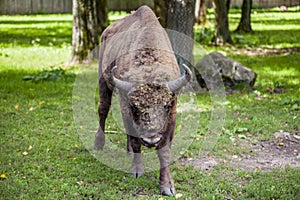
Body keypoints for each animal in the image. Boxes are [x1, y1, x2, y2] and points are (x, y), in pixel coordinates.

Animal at [94, 5, 192, 195]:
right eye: (135, 107)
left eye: (166, 105)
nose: (151, 140)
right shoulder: (126, 107)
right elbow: (135, 140)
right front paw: (137, 171)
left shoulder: (172, 117)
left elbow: (164, 151)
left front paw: (167, 186)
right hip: (103, 81)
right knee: (103, 110)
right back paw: (98, 144)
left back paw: (128, 152)